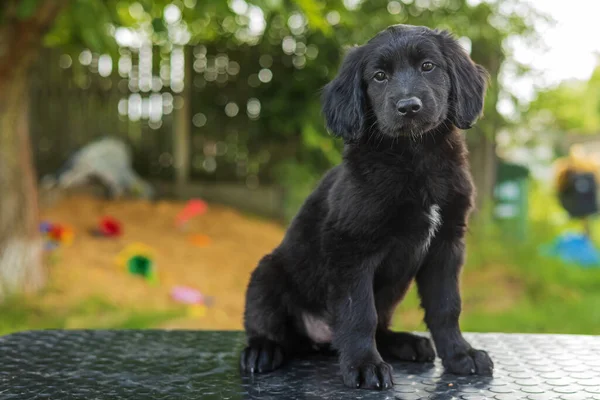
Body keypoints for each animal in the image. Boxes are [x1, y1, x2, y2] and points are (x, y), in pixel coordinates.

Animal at [241, 25, 494, 390]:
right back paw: (262, 349)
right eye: (379, 76)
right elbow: (359, 313)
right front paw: (364, 365)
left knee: (382, 327)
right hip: (266, 274)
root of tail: (319, 340)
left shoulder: (447, 244)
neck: (415, 159)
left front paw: (460, 355)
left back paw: (405, 343)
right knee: (267, 324)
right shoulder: (351, 248)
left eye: (428, 66)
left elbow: (447, 306)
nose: (408, 107)